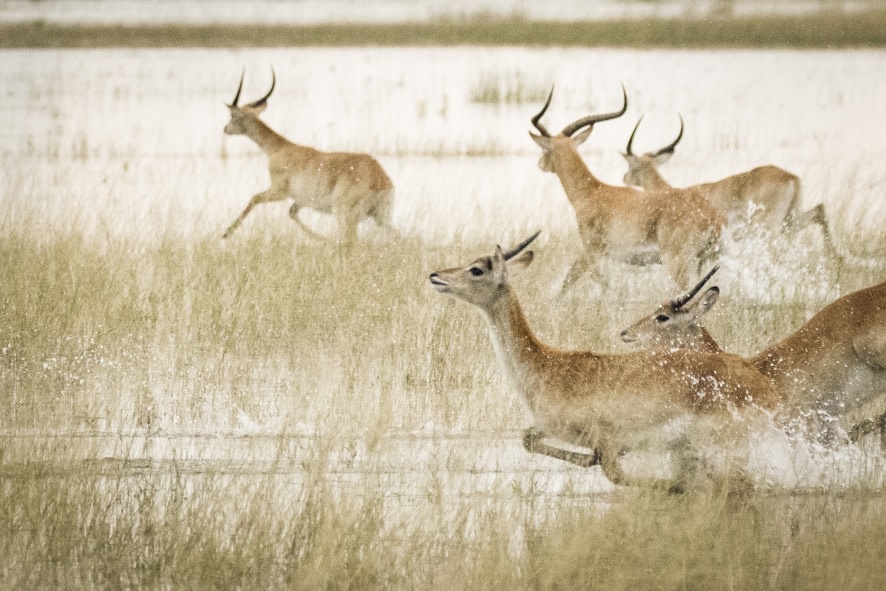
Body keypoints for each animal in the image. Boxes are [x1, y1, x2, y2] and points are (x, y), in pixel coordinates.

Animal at [222, 68, 398, 244]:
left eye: (232, 115)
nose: (225, 128)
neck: (278, 148)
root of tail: (380, 179)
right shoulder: (301, 200)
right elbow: (292, 212)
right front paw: (323, 239)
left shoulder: (279, 191)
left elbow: (254, 198)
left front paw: (226, 233)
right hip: (381, 217)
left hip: (345, 214)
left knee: (350, 240)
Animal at [430, 234, 776, 492]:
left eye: (477, 269)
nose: (436, 276)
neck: (545, 365)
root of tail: (759, 380)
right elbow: (529, 439)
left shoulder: (607, 438)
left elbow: (617, 474)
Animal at [528, 86, 728, 292]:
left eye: (545, 149)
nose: (540, 163)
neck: (592, 192)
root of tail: (713, 218)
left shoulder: (591, 250)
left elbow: (576, 280)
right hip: (704, 261)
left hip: (676, 262)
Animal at [616, 117, 840, 258]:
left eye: (631, 165)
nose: (624, 177)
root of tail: (791, 176)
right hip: (790, 220)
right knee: (820, 210)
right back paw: (836, 259)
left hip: (769, 226)